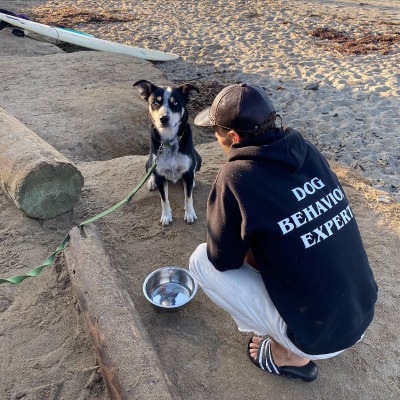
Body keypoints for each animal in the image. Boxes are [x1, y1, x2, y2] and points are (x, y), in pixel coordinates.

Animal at [134, 79, 202, 225]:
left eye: (175, 103)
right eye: (155, 102)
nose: (163, 118)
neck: (169, 141)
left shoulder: (188, 172)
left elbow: (188, 197)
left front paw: (189, 213)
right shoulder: (160, 175)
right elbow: (164, 199)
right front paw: (166, 216)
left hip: (198, 159)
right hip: (149, 162)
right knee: (150, 172)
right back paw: (151, 181)